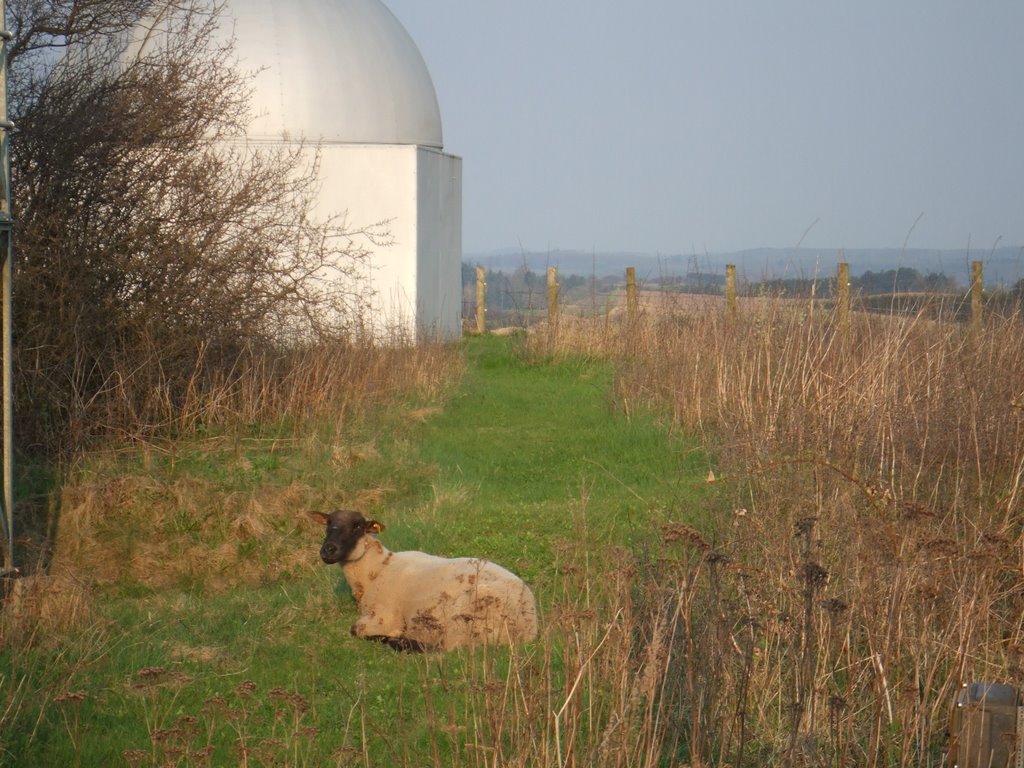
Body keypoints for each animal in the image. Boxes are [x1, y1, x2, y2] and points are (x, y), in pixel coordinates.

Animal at [307, 507, 540, 651]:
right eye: (328, 523)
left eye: (356, 526)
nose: (328, 550)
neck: (378, 569)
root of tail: (530, 624)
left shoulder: (384, 615)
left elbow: (356, 629)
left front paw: (391, 634)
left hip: (464, 620)